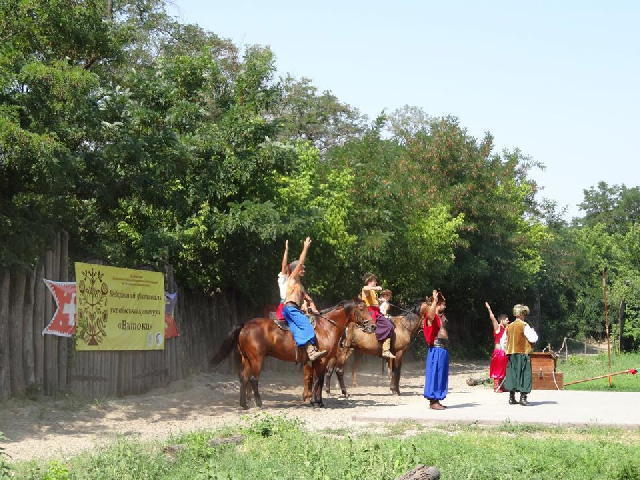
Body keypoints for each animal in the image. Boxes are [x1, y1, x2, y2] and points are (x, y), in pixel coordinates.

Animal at [211, 300, 370, 408]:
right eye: (361, 308)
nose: (372, 326)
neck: (326, 328)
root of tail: (245, 325)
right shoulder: (322, 360)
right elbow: (318, 380)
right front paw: (317, 402)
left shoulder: (314, 362)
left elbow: (314, 380)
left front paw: (314, 400)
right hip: (256, 359)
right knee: (253, 379)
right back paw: (259, 403)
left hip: (247, 359)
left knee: (244, 379)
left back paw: (244, 404)